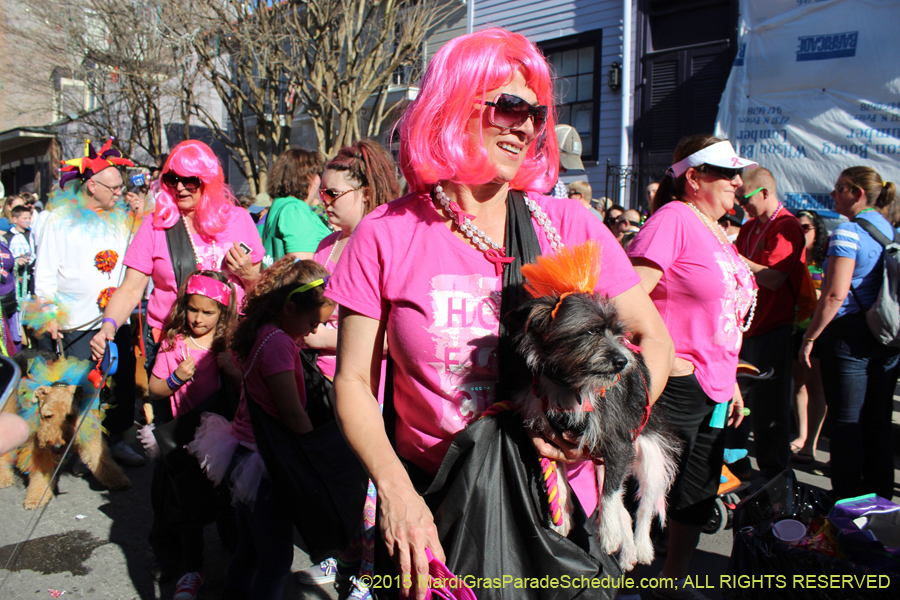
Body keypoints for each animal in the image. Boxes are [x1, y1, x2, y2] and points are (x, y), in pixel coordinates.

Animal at [510, 241, 680, 568]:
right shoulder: (551, 437)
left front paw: (609, 535)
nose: (624, 361)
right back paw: (627, 552)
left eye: (618, 333)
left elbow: (610, 495)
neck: (572, 385)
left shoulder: (619, 443)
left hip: (650, 454)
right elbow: (559, 477)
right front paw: (561, 516)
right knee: (626, 508)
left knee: (644, 506)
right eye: (591, 331)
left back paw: (640, 546)